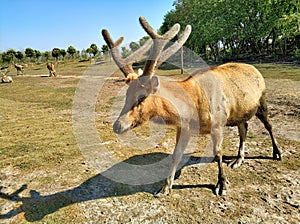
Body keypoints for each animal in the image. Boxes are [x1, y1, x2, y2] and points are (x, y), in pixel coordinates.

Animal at [102, 16, 282, 198]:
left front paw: (222, 184)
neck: (192, 109)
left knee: (269, 125)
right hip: (240, 112)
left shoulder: (217, 124)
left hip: (262, 101)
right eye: (126, 94)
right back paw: (238, 159)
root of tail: (255, 68)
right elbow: (176, 155)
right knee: (244, 127)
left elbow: (218, 153)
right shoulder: (184, 128)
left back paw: (277, 153)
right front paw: (165, 187)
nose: (117, 125)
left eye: (142, 96)